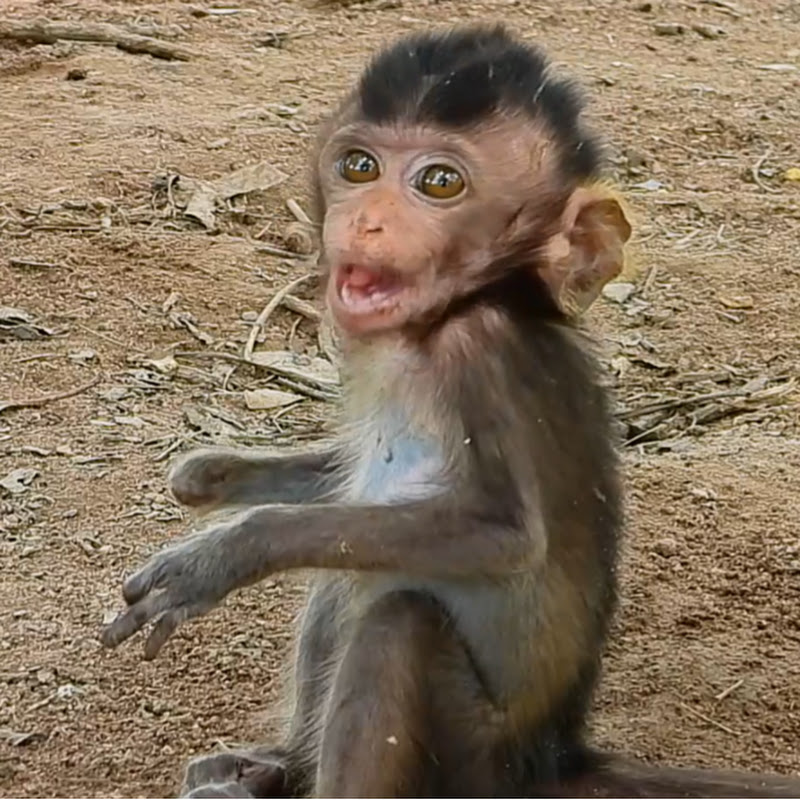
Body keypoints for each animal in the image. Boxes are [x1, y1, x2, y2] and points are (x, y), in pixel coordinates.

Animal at [101, 24, 800, 799]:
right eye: (359, 167)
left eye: (440, 183)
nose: (367, 222)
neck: (453, 313)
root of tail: (554, 759)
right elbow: (342, 482)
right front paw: (211, 474)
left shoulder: (480, 354)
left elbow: (503, 534)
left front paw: (224, 553)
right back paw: (275, 768)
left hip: (474, 759)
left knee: (394, 625)